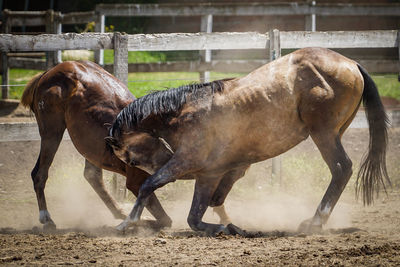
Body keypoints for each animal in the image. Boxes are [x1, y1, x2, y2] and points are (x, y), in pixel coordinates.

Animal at [107, 48, 390, 237]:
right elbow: (209, 205)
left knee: (341, 169)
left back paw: (315, 222)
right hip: (334, 133)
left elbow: (155, 190)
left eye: (131, 158)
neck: (184, 112)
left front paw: (126, 223)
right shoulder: (217, 172)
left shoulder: (190, 164)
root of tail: (351, 63)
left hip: (324, 134)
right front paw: (232, 226)